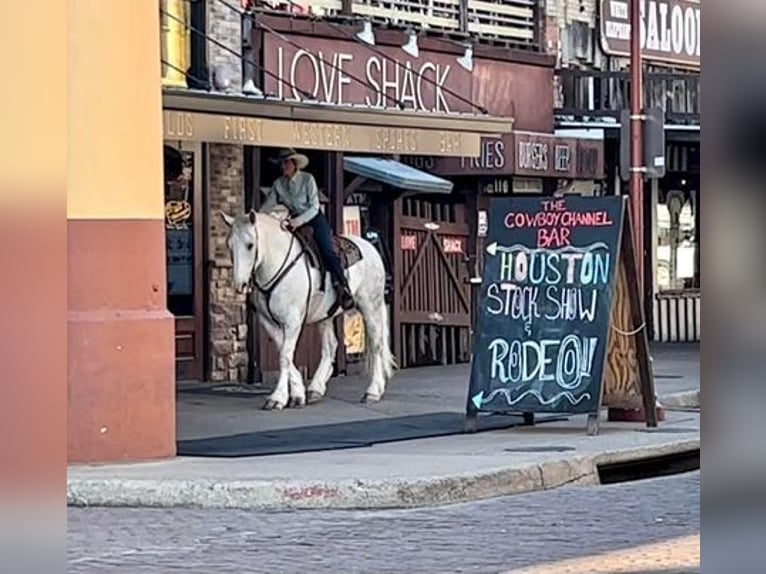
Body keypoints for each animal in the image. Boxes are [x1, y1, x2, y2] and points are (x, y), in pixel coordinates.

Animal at [218, 209, 392, 412]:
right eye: (229, 245)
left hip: (370, 305)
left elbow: (285, 356)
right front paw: (298, 393)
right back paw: (316, 388)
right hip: (325, 315)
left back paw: (373, 391)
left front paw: (277, 398)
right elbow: (283, 352)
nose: (240, 285)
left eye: (250, 245)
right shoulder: (268, 322)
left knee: (376, 343)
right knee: (330, 347)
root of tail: (370, 248)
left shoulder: (292, 321)